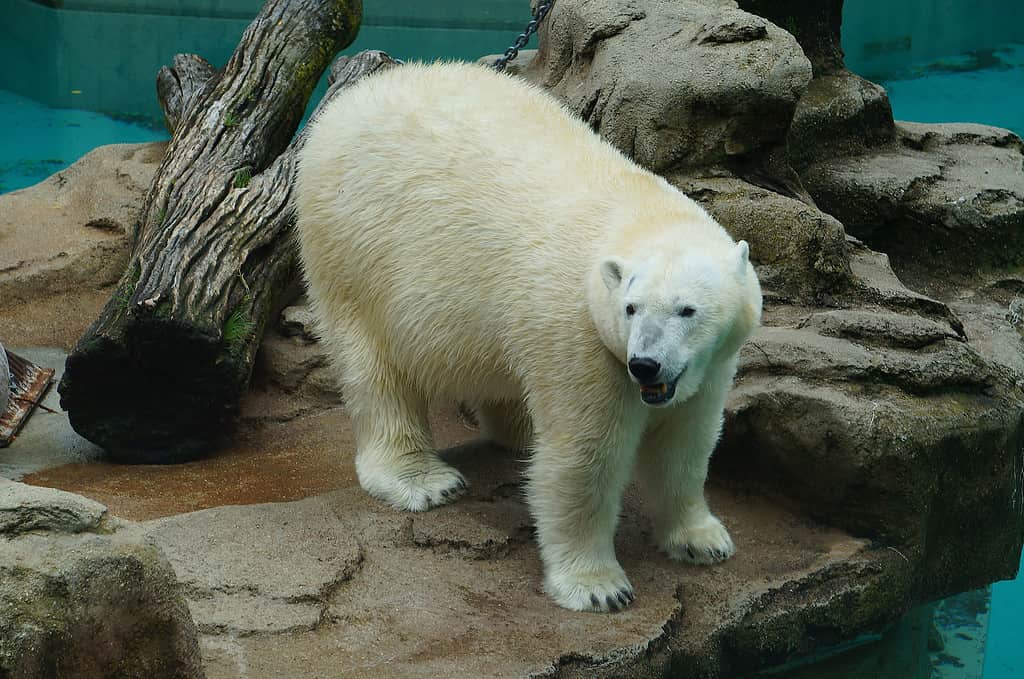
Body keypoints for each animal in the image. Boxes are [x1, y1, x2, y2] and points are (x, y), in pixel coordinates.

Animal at [295, 61, 762, 612]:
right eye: (630, 308)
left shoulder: (710, 363)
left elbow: (687, 441)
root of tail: (348, 102)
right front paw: (598, 587)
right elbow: (584, 457)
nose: (645, 365)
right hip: (352, 247)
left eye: (687, 310)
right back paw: (423, 480)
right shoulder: (580, 333)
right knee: (376, 368)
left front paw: (703, 540)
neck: (637, 211)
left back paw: (518, 432)